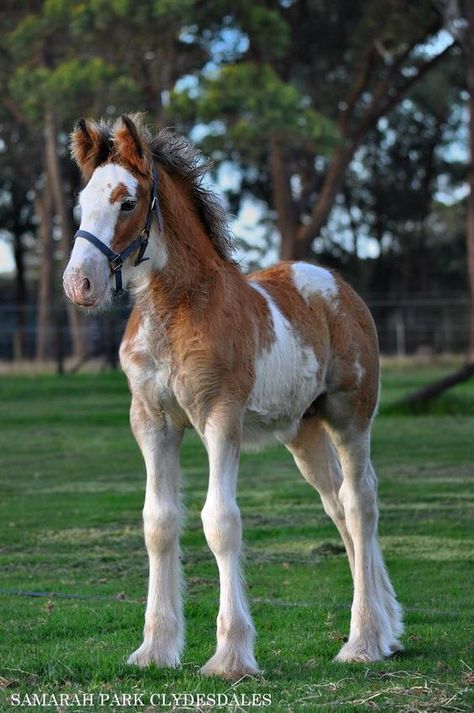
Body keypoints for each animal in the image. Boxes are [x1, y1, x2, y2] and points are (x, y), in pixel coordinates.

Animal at [64, 115, 404, 680]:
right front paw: (155, 649)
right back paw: (388, 627)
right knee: (336, 504)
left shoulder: (220, 418)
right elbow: (158, 522)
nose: (79, 283)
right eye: (81, 202)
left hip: (350, 416)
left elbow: (220, 523)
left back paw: (363, 641)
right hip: (303, 431)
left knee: (361, 504)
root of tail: (336, 284)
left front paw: (230, 656)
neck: (177, 310)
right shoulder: (151, 421)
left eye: (127, 202)